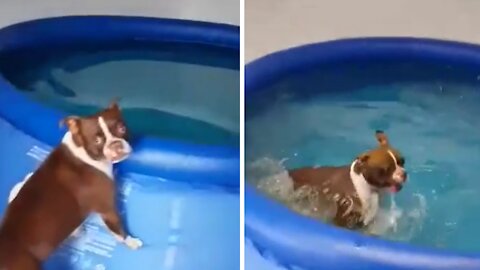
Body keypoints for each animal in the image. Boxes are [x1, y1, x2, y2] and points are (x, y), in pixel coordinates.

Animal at [0, 100, 142, 268]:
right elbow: (118, 230)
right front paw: (131, 242)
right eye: (97, 141)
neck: (82, 149)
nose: (116, 145)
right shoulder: (107, 208)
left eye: (122, 129)